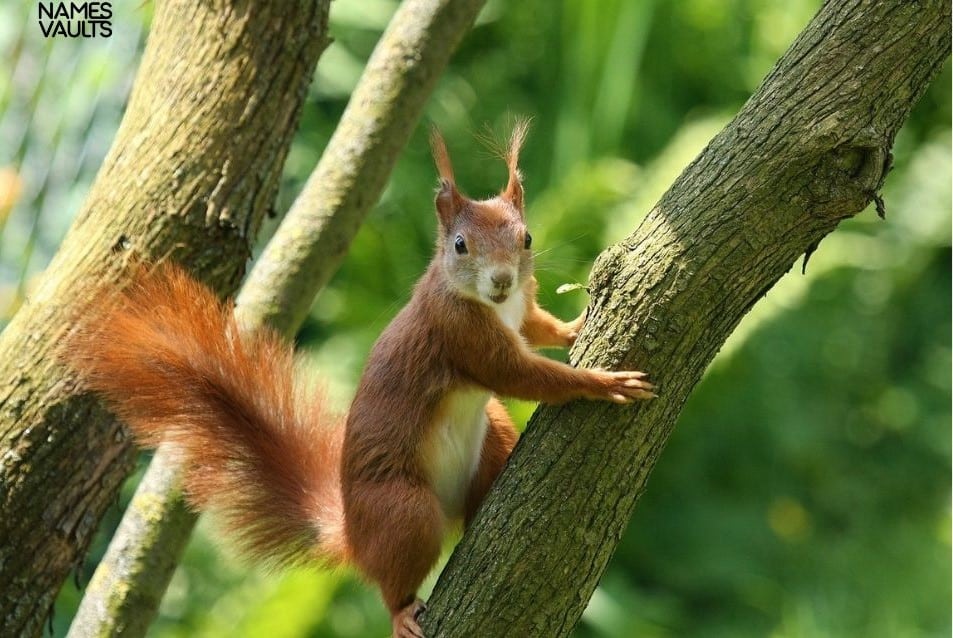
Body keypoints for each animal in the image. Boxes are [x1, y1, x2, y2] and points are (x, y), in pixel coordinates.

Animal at [63, 121, 652, 638]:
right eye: (460, 245)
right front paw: (602, 381)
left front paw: (575, 324)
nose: (503, 280)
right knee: (394, 576)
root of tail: (353, 533)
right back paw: (401, 612)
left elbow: (537, 329)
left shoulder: (520, 313)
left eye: (526, 237)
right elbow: (523, 375)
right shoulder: (459, 335)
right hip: (403, 510)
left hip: (491, 434)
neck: (491, 306)